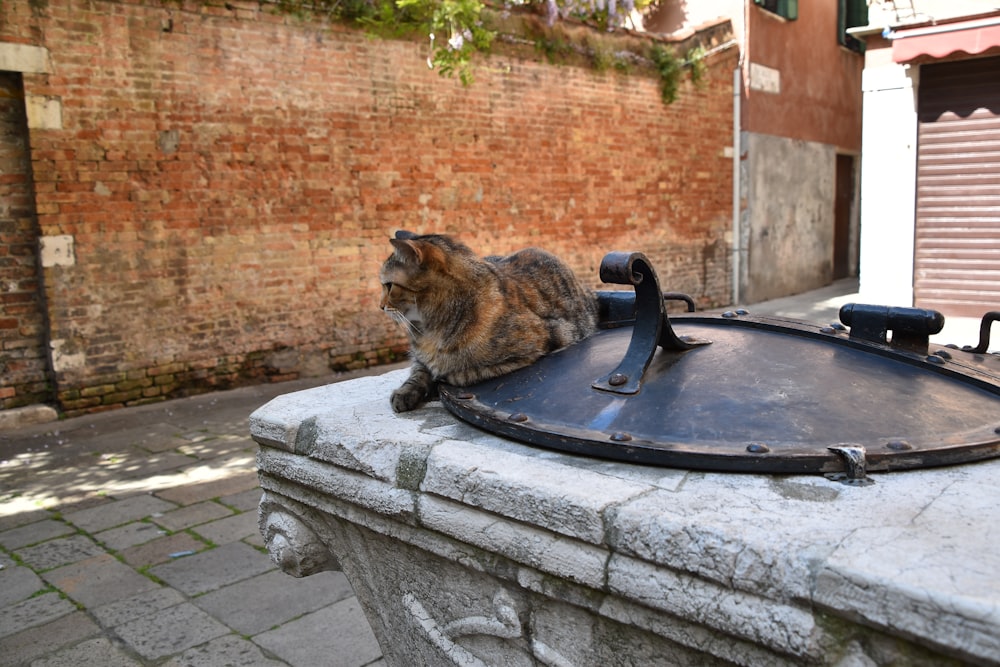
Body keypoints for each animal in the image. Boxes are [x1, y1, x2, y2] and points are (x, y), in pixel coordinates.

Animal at [378, 232, 596, 414]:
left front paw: (444, 377)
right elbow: (418, 372)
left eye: (389, 286)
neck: (430, 329)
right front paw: (405, 392)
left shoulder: (536, 346)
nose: (380, 306)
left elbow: (470, 372)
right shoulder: (420, 357)